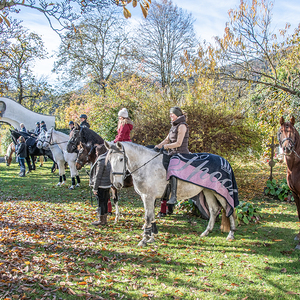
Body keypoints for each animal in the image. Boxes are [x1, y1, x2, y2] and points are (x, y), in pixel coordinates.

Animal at [105, 142, 237, 247]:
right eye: (110, 160)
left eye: (121, 159)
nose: (117, 184)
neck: (146, 166)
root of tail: (224, 161)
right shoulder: (146, 197)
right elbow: (151, 216)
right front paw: (151, 238)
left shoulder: (148, 197)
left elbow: (148, 217)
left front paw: (144, 239)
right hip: (208, 190)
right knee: (214, 209)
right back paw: (206, 232)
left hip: (221, 193)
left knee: (229, 210)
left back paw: (231, 234)